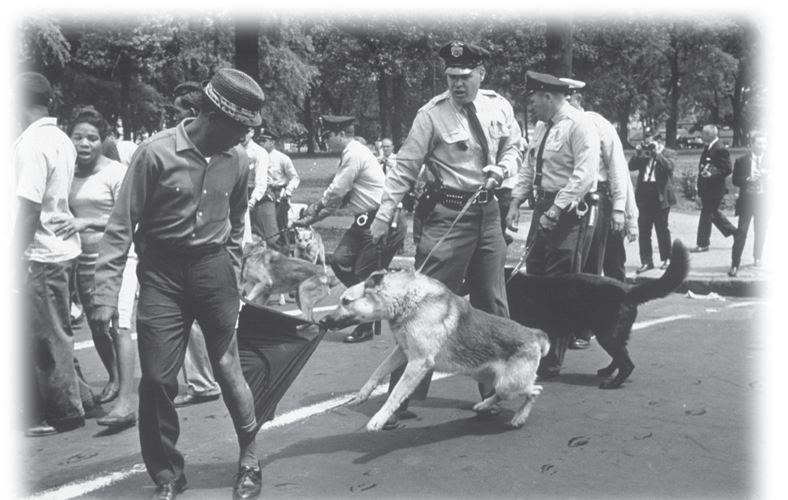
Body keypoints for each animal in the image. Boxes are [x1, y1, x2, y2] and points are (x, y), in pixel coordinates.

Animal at [318, 272, 548, 432]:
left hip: (509, 384)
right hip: (487, 377)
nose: (322, 321)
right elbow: (378, 371)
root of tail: (535, 334)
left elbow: (395, 393)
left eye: (346, 301)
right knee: (500, 394)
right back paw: (484, 404)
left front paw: (379, 419)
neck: (406, 301)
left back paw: (519, 418)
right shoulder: (403, 351)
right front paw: (364, 393)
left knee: (535, 391)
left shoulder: (418, 362)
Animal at [504, 239, 688, 390]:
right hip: (615, 335)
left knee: (627, 364)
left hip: (606, 334)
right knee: (620, 357)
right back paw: (607, 372)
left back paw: (612, 384)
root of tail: (628, 290)